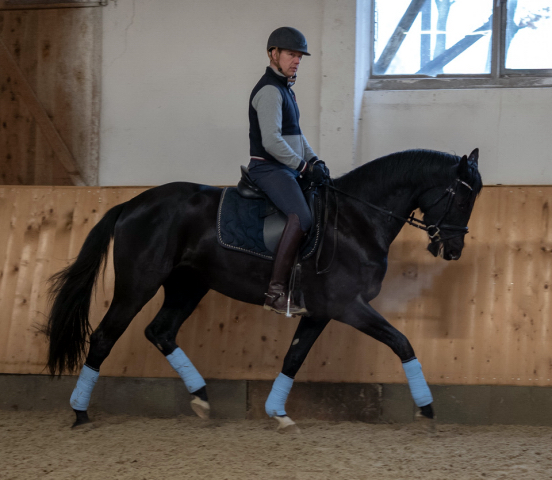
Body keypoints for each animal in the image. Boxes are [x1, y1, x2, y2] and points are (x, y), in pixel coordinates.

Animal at [45, 147, 480, 432]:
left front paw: (277, 412)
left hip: (188, 286)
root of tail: (133, 204)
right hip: (138, 285)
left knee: (161, 331)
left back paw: (201, 397)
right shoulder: (348, 306)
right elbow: (402, 342)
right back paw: (80, 412)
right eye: (462, 198)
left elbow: (294, 357)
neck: (357, 220)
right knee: (105, 336)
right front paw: (426, 409)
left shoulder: (320, 312)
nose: (454, 250)